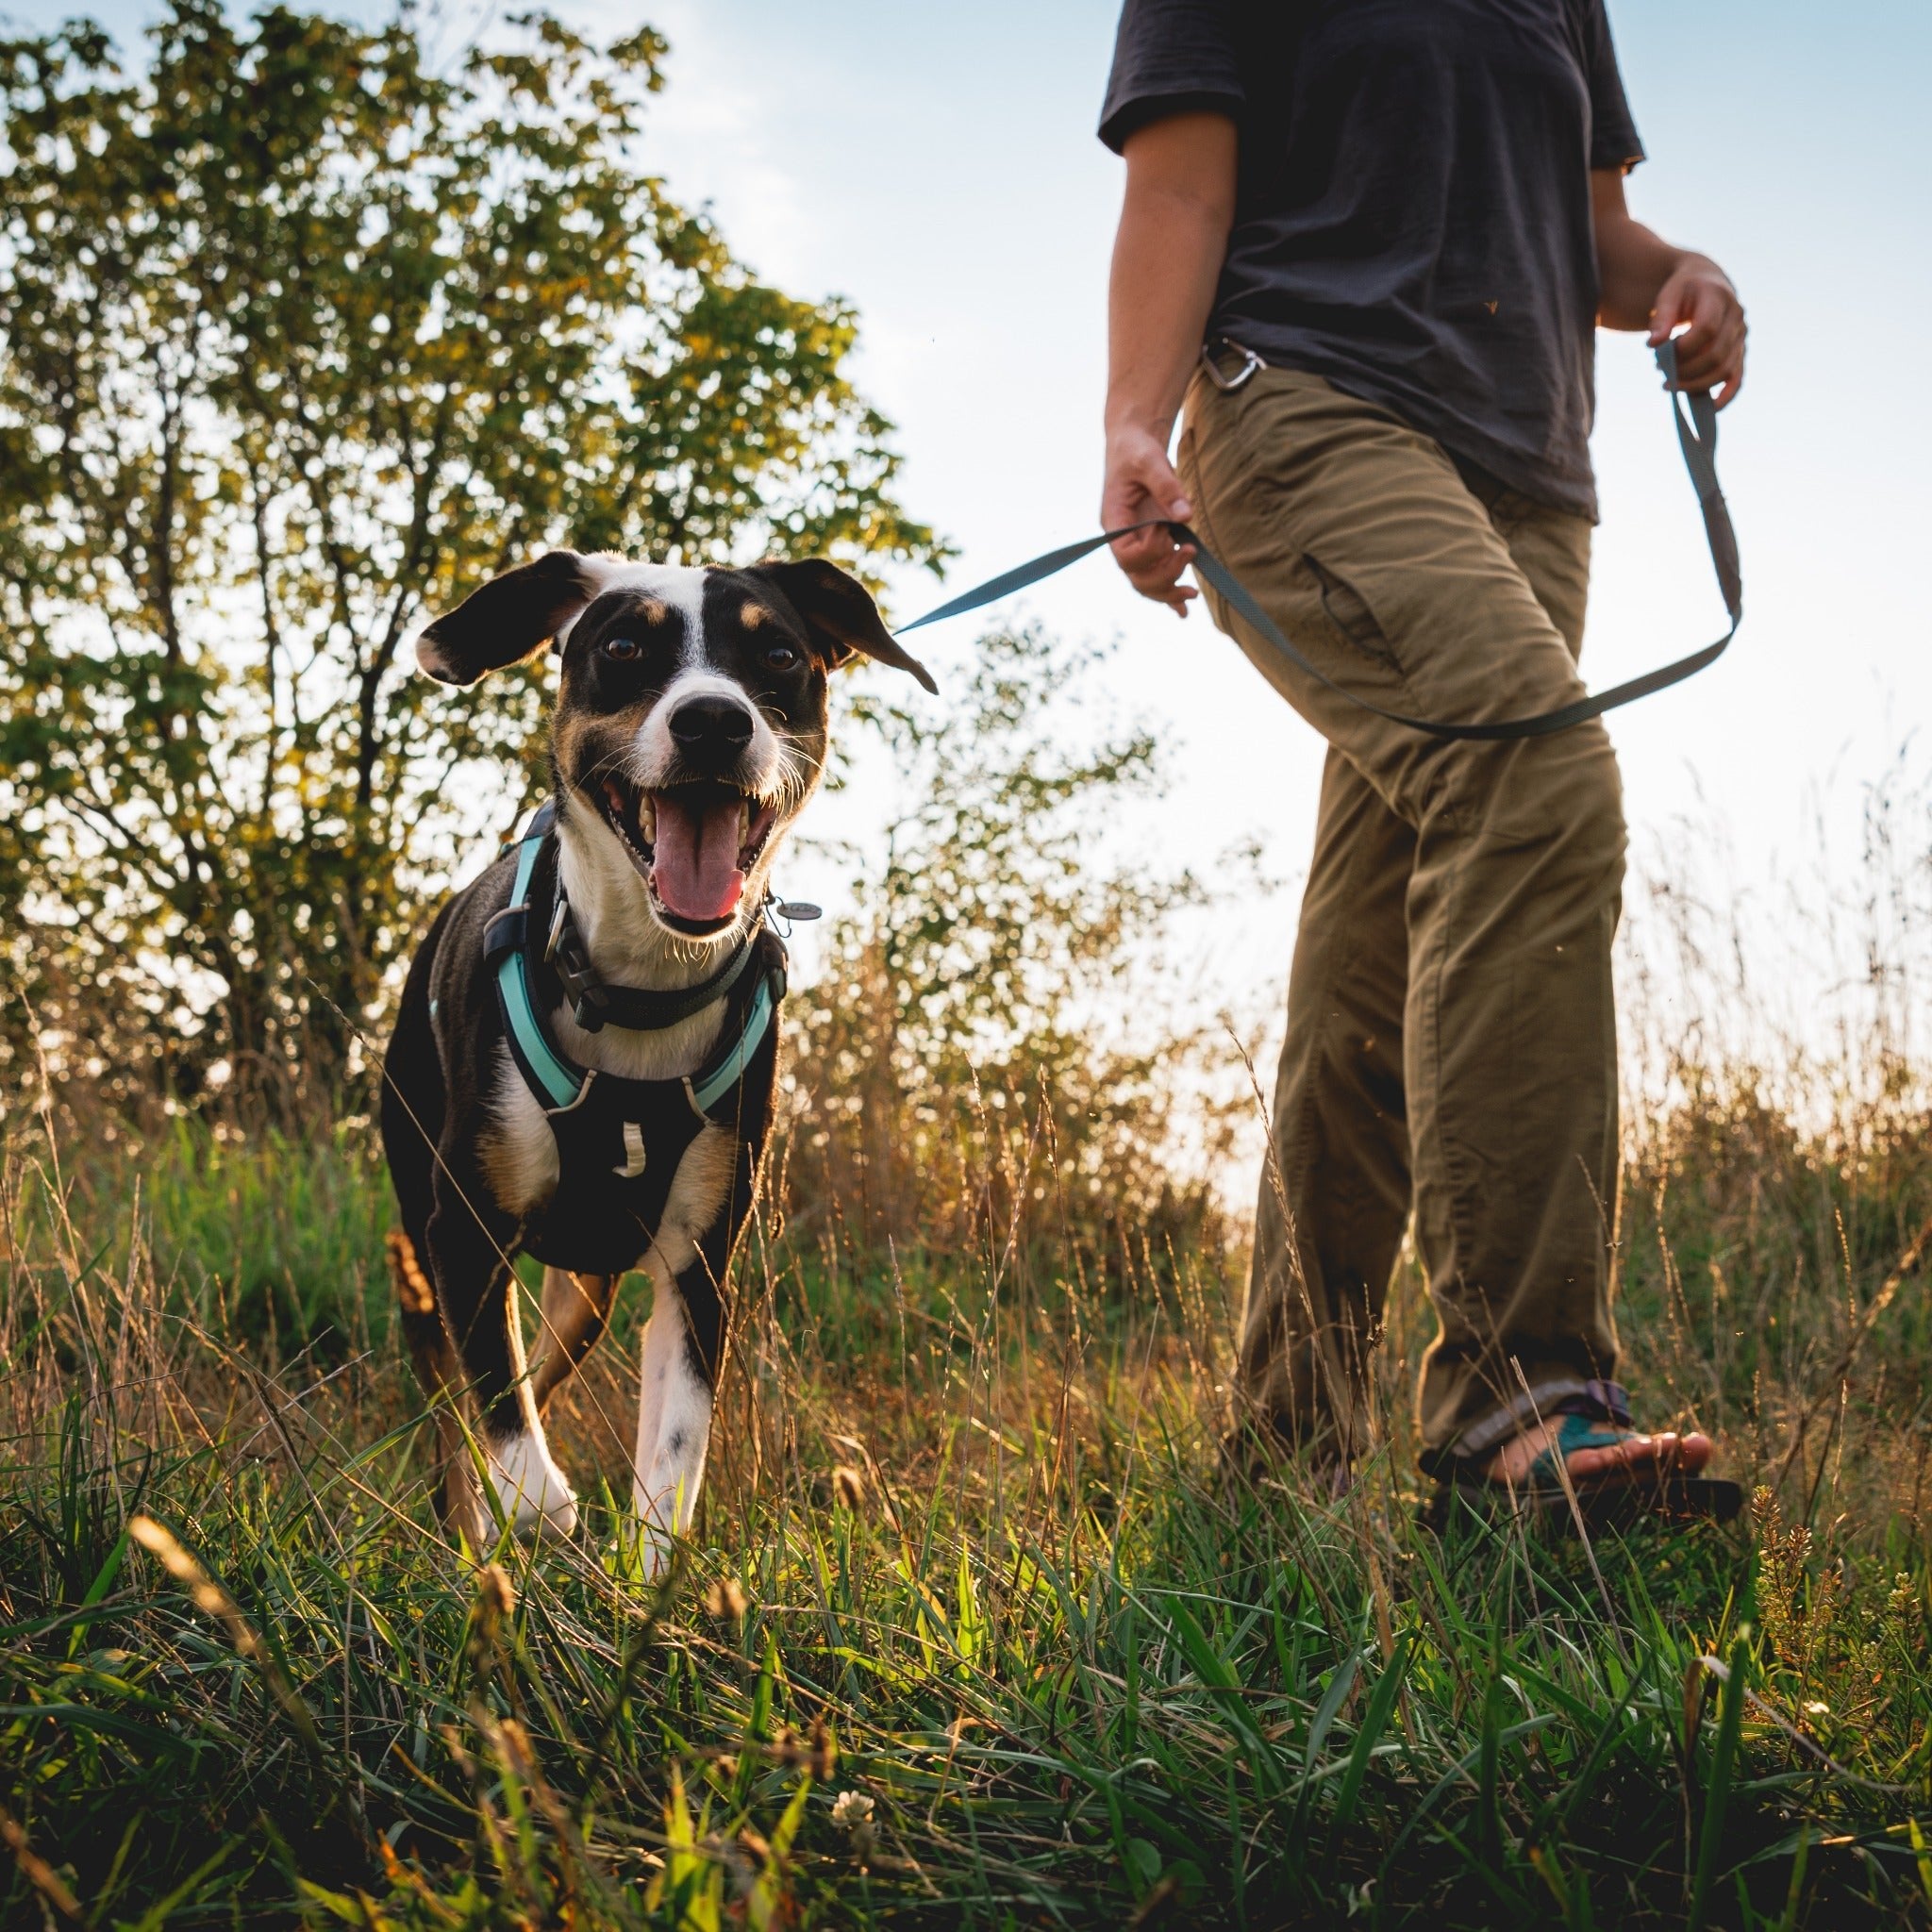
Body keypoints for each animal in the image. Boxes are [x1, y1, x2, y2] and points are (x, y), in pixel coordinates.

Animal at [378, 544, 935, 1568]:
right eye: (624, 646)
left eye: (780, 655)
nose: (713, 719)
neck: (639, 987)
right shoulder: (463, 1233)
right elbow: (505, 1426)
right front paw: (537, 1510)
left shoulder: (702, 1266)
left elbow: (672, 1463)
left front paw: (643, 1581)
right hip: (419, 1234)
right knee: (449, 1406)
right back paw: (467, 1527)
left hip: (586, 1289)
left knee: (544, 1360)